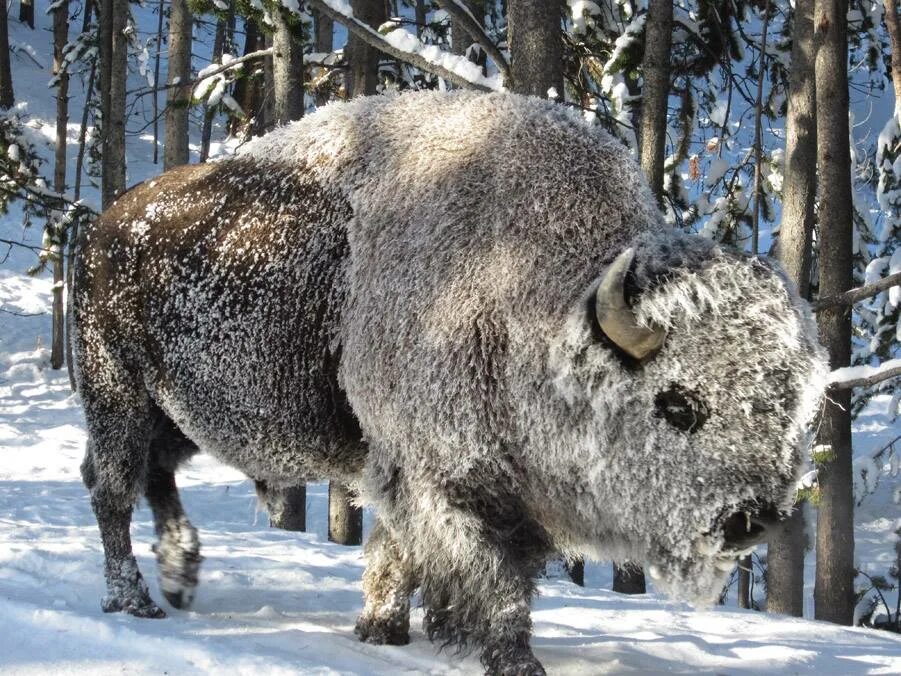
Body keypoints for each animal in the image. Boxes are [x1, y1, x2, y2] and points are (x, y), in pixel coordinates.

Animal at [74, 91, 828, 676]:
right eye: (677, 405)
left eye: (789, 408)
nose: (750, 519)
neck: (529, 299)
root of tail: (105, 225)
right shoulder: (438, 478)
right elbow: (488, 578)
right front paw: (508, 658)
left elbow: (406, 555)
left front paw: (389, 629)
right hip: (117, 394)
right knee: (112, 487)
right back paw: (134, 600)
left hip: (177, 415)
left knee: (154, 477)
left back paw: (181, 575)